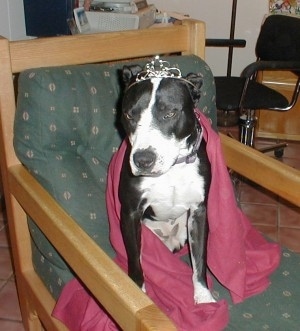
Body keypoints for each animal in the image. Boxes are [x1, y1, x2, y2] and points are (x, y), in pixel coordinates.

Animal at [118, 58, 214, 304]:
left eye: (170, 113)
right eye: (130, 115)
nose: (143, 160)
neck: (171, 169)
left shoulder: (199, 211)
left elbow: (200, 259)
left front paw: (203, 296)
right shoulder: (130, 212)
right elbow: (135, 259)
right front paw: (137, 292)